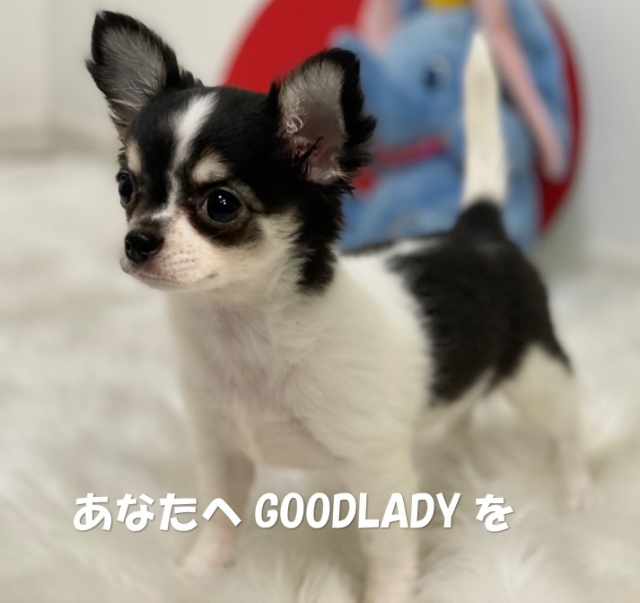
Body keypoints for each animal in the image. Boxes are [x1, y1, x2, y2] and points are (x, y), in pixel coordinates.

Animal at [87, 13, 589, 603]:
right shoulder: (221, 449)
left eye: (221, 205)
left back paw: (576, 492)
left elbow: (386, 552)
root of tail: (479, 230)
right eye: (126, 187)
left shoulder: (376, 473)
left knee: (567, 424)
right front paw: (199, 571)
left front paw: (387, 596)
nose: (137, 241)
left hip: (534, 372)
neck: (242, 331)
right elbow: (218, 515)